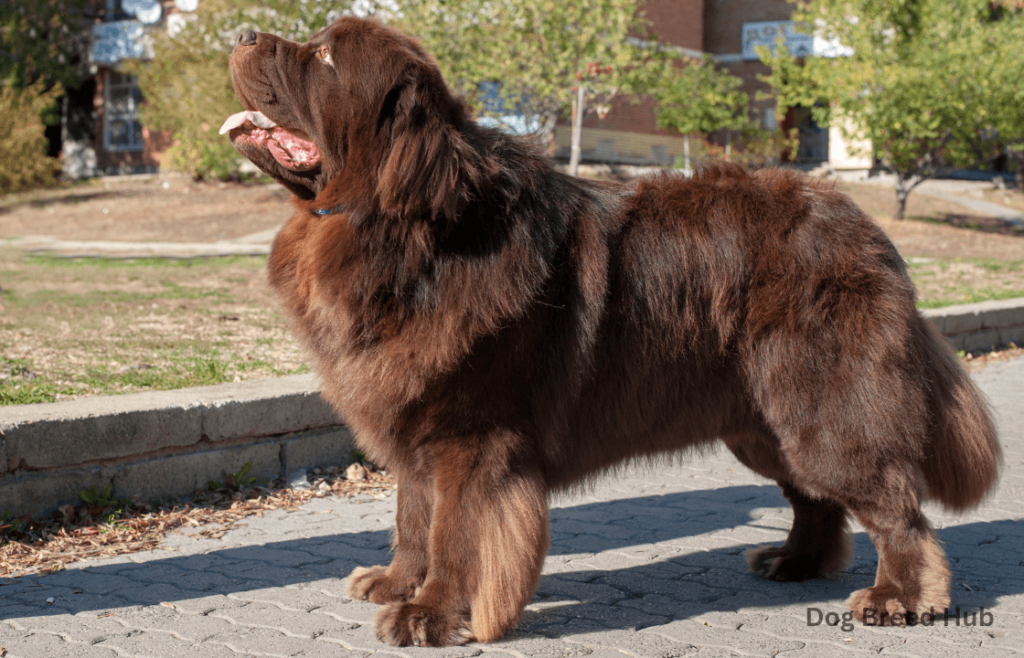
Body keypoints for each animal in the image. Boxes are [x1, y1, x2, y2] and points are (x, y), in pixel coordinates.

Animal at [226, 16, 999, 646]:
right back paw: (793, 561)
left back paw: (899, 597)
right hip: (764, 424)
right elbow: (412, 517)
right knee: (817, 497)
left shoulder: (473, 438)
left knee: (895, 507)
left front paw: (430, 613)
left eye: (324, 56)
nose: (239, 32)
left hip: (821, 408)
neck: (399, 231)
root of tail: (868, 229)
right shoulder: (418, 421)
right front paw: (394, 581)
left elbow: (455, 534)